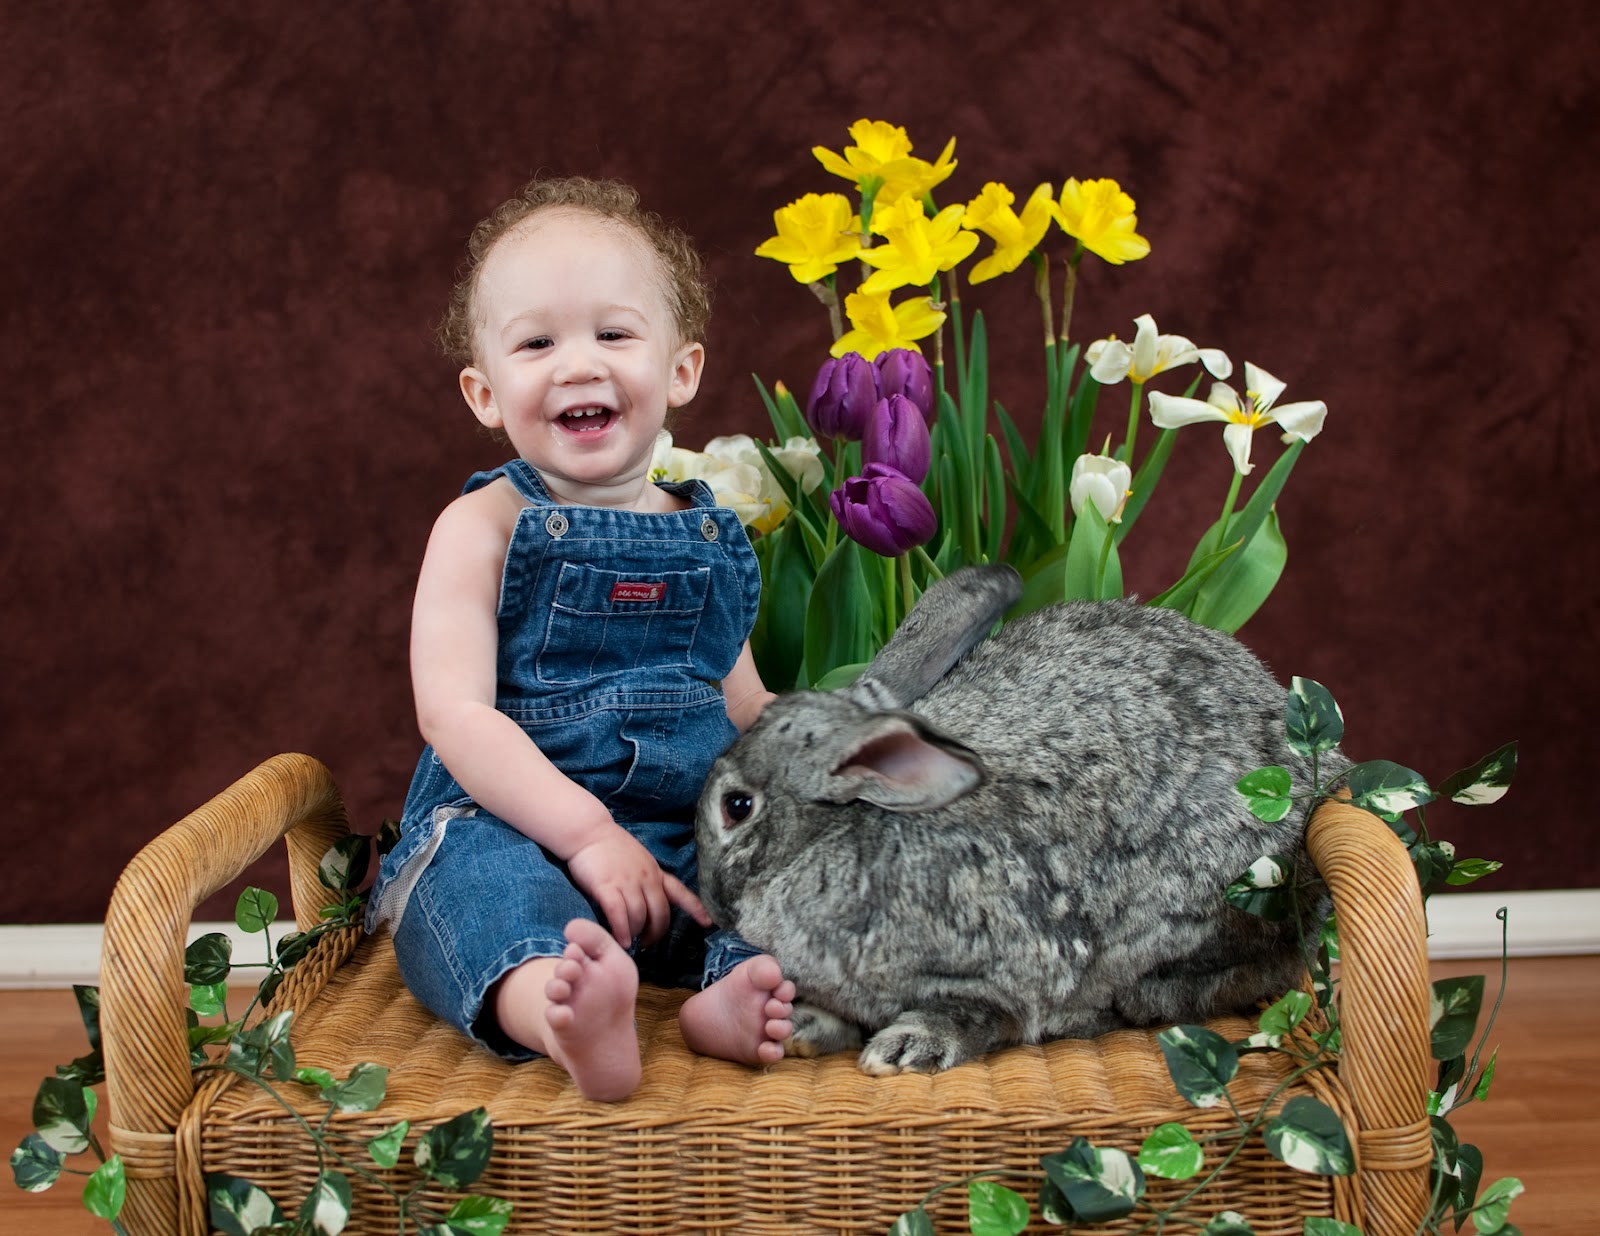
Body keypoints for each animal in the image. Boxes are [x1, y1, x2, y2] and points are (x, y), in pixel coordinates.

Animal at [695, 563, 1339, 1076]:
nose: (708, 900)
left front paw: (906, 1049)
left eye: (736, 807)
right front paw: (797, 1029)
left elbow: (976, 1016)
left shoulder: (1011, 971)